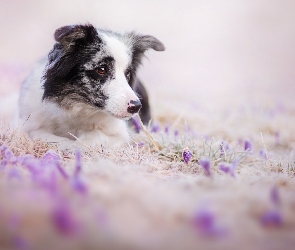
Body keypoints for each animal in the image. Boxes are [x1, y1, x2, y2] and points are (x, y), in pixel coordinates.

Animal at [17, 23, 165, 148]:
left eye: (127, 73)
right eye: (102, 69)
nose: (136, 106)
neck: (77, 108)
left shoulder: (121, 133)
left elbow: (93, 137)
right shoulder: (27, 125)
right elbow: (42, 135)